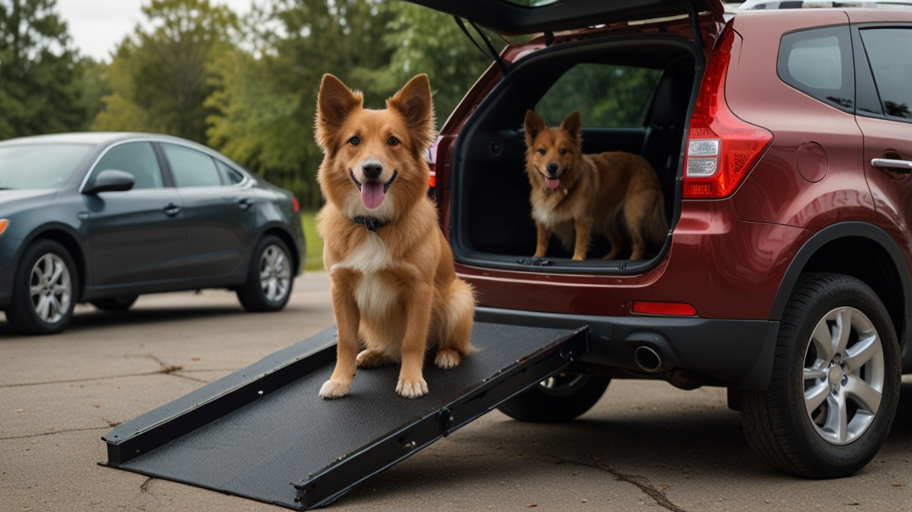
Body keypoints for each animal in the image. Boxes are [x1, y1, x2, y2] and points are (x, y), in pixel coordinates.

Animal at [316, 73, 478, 400]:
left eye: (393, 141)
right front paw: (340, 381)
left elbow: (412, 340)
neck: (373, 224)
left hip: (460, 299)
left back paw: (447, 355)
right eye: (354, 140)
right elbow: (346, 342)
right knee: (388, 349)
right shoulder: (341, 290)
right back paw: (375, 354)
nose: (372, 169)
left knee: (451, 345)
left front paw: (411, 380)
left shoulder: (419, 289)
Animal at [524, 108, 668, 260]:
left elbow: (580, 244)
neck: (555, 191)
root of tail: (649, 168)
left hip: (632, 216)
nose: (552, 168)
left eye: (563, 151)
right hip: (607, 220)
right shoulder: (542, 220)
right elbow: (541, 244)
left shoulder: (582, 221)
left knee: (639, 245)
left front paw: (577, 259)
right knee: (619, 244)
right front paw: (537, 257)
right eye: (541, 151)